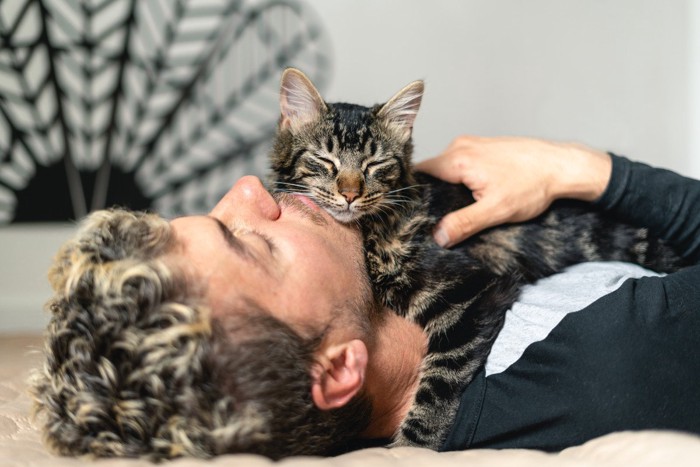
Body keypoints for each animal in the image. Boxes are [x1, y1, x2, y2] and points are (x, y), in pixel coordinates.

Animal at [266, 68, 684, 450]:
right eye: (325, 161)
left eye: (375, 165)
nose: (351, 195)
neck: (372, 232)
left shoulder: (472, 291)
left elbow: (439, 382)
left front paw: (411, 448)